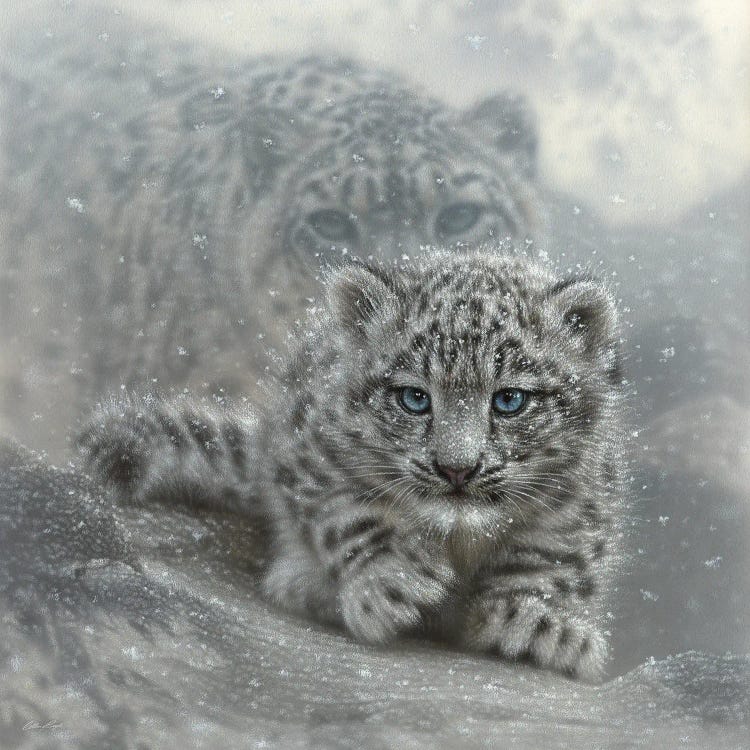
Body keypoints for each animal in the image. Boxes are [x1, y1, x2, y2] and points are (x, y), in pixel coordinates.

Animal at [79, 251, 624, 680]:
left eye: (510, 400)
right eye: (413, 398)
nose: (456, 469)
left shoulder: (578, 498)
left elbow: (550, 558)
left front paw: (540, 623)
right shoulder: (312, 456)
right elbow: (350, 516)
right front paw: (392, 581)